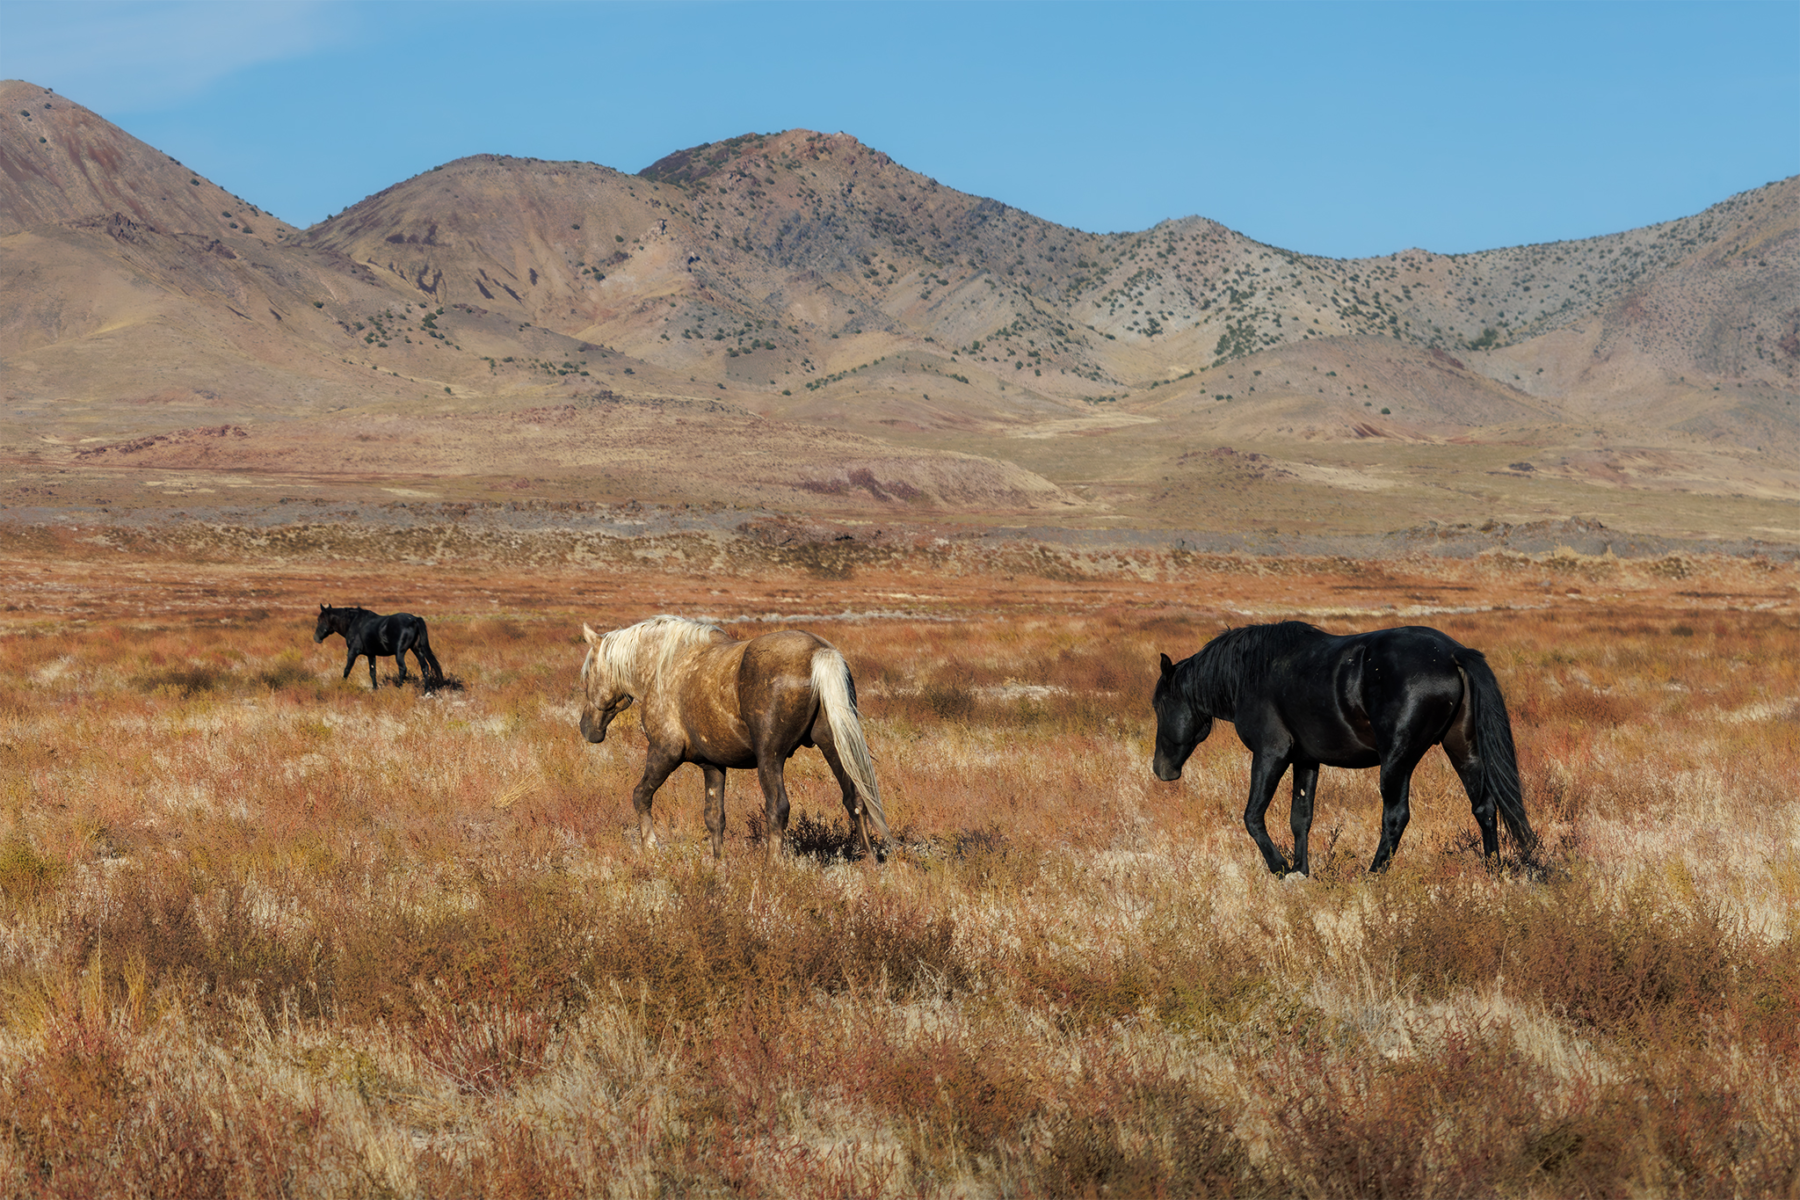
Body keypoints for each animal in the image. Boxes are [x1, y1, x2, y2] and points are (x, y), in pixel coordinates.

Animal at [313, 604, 444, 691]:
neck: (353, 622)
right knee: (425, 667)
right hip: (417, 650)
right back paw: (426, 691)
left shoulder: (352, 652)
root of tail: (414, 620)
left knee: (403, 668)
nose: (315, 638)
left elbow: (347, 669)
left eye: (320, 619)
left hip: (400, 652)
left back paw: (399, 688)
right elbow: (373, 672)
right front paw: (375, 689)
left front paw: (341, 685)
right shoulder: (371, 654)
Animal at [578, 615, 890, 860]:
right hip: (833, 746)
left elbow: (641, 796)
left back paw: (772, 866)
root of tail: (819, 652)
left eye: (587, 675)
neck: (663, 666)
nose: (586, 728)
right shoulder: (712, 765)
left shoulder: (664, 752)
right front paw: (718, 864)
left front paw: (651, 849)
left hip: (770, 758)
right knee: (855, 800)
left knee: (778, 807)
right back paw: (870, 863)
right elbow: (714, 817)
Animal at [1151, 621, 1537, 875]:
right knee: (1484, 807)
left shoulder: (1270, 753)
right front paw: (1301, 871)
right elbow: (1300, 819)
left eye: (1160, 705)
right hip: (1462, 749)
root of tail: (1453, 653)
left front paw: (1280, 868)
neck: (1252, 672)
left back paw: (1374, 874)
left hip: (1397, 759)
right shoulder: (1305, 760)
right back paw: (1492, 869)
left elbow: (1252, 816)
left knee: (1396, 816)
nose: (1161, 769)